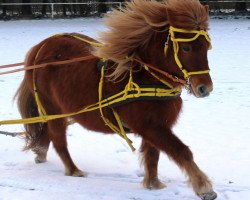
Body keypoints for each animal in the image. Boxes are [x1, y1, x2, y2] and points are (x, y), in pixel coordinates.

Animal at [15, 0, 216, 199]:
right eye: (186, 48)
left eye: (207, 46)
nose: (205, 88)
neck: (144, 76)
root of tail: (40, 48)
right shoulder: (151, 127)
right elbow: (182, 151)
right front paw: (204, 187)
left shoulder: (156, 126)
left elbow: (153, 156)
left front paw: (153, 184)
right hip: (53, 109)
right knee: (59, 140)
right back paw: (73, 170)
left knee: (47, 133)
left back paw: (40, 153)